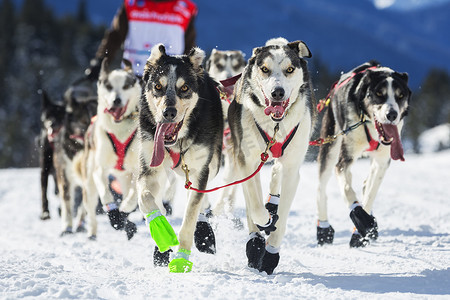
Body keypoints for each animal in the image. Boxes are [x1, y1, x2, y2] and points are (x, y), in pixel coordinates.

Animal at [81, 59, 142, 240]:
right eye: (108, 86)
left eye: (126, 86)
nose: (116, 100)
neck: (119, 129)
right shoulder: (99, 169)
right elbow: (106, 194)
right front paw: (114, 215)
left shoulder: (137, 169)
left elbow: (132, 198)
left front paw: (124, 211)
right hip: (89, 182)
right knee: (91, 207)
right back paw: (92, 232)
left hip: (125, 177)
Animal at [136, 44, 222, 272]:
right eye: (158, 86)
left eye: (184, 88)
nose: (169, 112)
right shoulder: (149, 169)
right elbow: (146, 198)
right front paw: (162, 232)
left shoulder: (201, 171)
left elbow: (190, 216)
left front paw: (182, 257)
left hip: (213, 164)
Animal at [230, 37, 314, 274]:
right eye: (265, 69)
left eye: (290, 69)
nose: (277, 92)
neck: (276, 125)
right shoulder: (247, 163)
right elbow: (255, 206)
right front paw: (262, 227)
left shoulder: (293, 169)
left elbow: (283, 216)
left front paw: (270, 254)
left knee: (276, 169)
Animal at [316, 61, 412, 248]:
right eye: (379, 94)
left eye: (401, 95)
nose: (392, 114)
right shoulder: (343, 161)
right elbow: (348, 190)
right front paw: (360, 216)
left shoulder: (382, 162)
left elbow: (370, 193)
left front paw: (361, 232)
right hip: (330, 146)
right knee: (321, 188)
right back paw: (323, 229)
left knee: (366, 184)